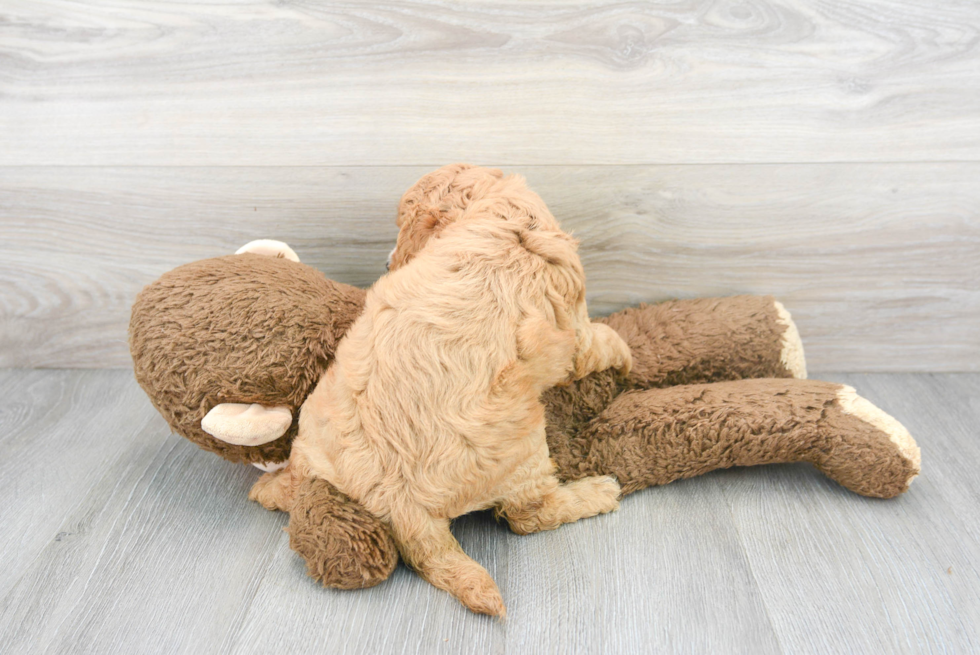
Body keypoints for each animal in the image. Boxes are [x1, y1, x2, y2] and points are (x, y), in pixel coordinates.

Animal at [253, 167, 632, 616]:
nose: (387, 262)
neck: (495, 215)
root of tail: (401, 505)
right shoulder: (571, 319)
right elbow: (594, 343)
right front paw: (625, 352)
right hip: (523, 448)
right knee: (528, 516)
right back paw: (598, 491)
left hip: (315, 428)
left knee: (299, 477)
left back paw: (271, 489)